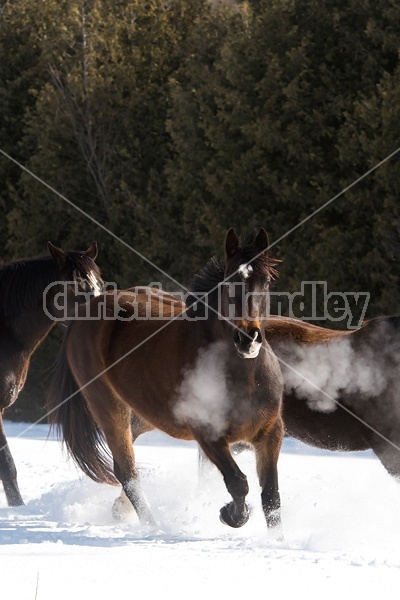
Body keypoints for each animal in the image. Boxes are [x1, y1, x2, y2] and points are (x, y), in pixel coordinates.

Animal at [47, 230, 284, 528]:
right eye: (231, 281)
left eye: (266, 281)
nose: (247, 339)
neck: (245, 377)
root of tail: (85, 312)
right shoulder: (208, 434)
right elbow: (238, 483)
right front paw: (229, 513)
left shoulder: (270, 433)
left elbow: (272, 500)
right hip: (108, 405)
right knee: (126, 471)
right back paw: (151, 526)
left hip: (145, 413)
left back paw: (122, 510)